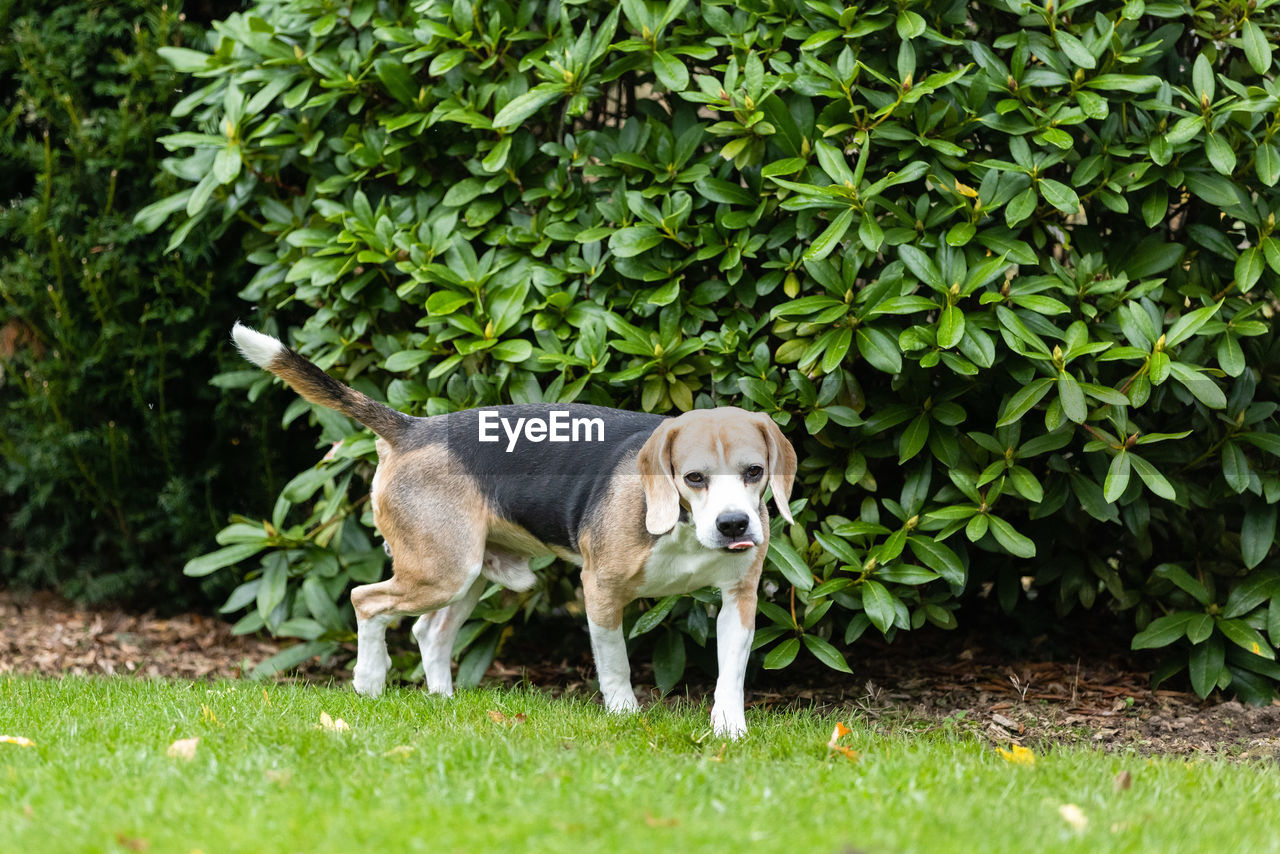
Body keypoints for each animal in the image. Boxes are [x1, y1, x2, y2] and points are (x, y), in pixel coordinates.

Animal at [226, 323, 793, 737]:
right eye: (694, 477)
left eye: (754, 472)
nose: (734, 524)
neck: (684, 524)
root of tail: (414, 428)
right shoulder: (600, 590)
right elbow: (616, 663)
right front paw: (625, 714)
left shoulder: (739, 599)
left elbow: (730, 672)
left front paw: (729, 728)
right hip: (442, 571)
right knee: (366, 600)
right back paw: (368, 681)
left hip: (469, 573)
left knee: (429, 632)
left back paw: (443, 700)